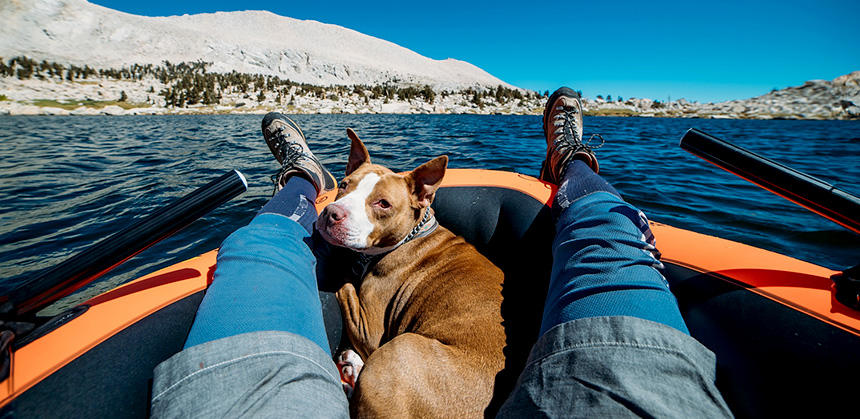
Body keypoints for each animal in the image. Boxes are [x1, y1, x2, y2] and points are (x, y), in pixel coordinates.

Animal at [314, 130, 504, 418]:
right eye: (344, 185)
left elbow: (345, 285)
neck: (412, 235)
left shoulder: (368, 329)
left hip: (400, 350)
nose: (331, 213)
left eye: (383, 204)